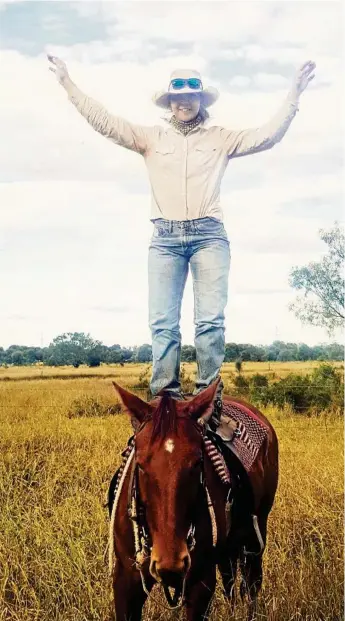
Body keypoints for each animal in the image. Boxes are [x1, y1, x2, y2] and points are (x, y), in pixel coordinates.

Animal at [109, 378, 278, 620]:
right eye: (139, 465)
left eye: (198, 462)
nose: (171, 563)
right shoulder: (125, 580)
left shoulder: (201, 583)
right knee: (231, 580)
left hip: (256, 534)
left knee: (252, 584)